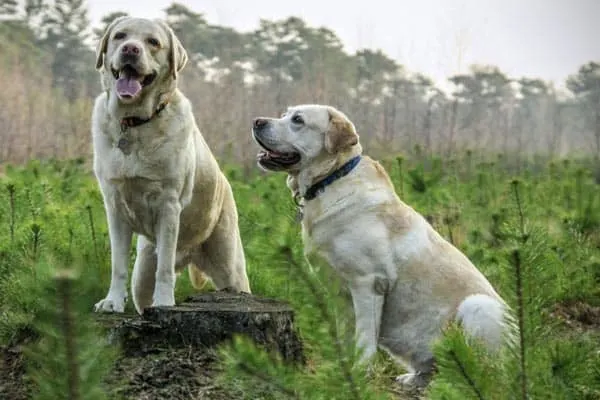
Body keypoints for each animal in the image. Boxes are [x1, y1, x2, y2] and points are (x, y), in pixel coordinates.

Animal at [251, 104, 512, 388]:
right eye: (284, 114)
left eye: (298, 120)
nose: (257, 121)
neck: (331, 179)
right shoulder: (339, 292)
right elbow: (346, 335)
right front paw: (344, 370)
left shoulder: (369, 283)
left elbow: (365, 338)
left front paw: (360, 374)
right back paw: (415, 380)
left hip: (477, 306)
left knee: (489, 372)